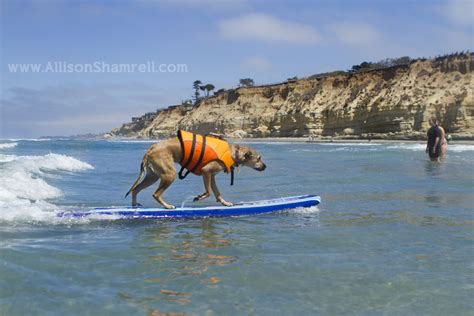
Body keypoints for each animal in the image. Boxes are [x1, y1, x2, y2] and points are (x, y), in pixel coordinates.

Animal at [126, 131, 266, 210]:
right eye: (259, 158)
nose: (265, 167)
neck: (233, 153)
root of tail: (150, 150)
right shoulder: (206, 172)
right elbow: (209, 192)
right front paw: (199, 197)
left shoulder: (212, 176)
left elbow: (217, 193)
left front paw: (225, 203)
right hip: (169, 174)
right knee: (155, 194)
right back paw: (167, 206)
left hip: (153, 176)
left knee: (135, 190)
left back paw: (134, 207)